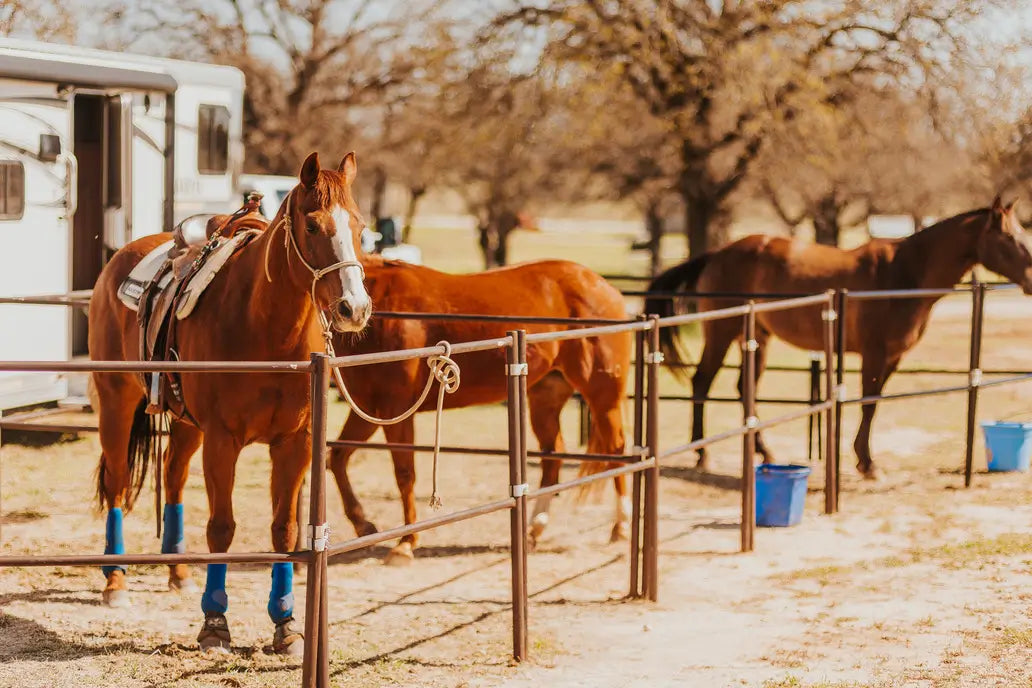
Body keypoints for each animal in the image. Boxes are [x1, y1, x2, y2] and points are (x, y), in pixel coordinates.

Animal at [87, 153, 371, 656]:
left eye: (358, 225)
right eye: (313, 226)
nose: (354, 308)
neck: (265, 328)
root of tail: (122, 256)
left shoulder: (294, 443)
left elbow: (284, 529)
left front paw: (286, 624)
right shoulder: (223, 441)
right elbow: (222, 527)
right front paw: (215, 622)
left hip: (186, 424)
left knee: (173, 476)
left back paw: (179, 570)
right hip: (115, 401)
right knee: (119, 484)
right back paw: (116, 581)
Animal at [326, 257, 631, 565]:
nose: (352, 310)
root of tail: (603, 286)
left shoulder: (395, 407)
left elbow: (404, 473)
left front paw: (406, 543)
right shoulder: (369, 408)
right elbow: (337, 458)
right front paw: (364, 525)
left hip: (603, 396)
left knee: (616, 448)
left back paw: (621, 526)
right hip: (546, 397)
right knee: (553, 455)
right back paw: (533, 530)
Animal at [643, 198, 1032, 478]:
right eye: (1010, 238)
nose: (1030, 280)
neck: (903, 274)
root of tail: (718, 253)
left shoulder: (893, 358)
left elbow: (875, 403)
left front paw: (864, 460)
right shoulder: (874, 355)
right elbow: (869, 404)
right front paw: (867, 463)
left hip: (757, 338)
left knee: (744, 389)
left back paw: (762, 451)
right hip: (721, 333)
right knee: (702, 382)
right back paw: (701, 453)